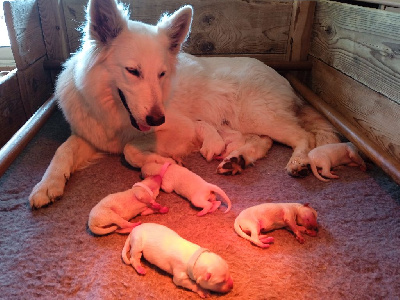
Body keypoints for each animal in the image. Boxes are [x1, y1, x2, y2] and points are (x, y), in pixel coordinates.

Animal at [28, 0, 338, 209]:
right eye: (133, 71)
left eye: (162, 74)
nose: (156, 120)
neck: (114, 112)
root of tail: (282, 77)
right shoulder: (91, 135)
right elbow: (62, 151)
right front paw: (47, 184)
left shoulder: (182, 129)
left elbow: (130, 149)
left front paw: (159, 162)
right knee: (262, 141)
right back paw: (237, 159)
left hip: (259, 116)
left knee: (303, 136)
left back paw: (298, 161)